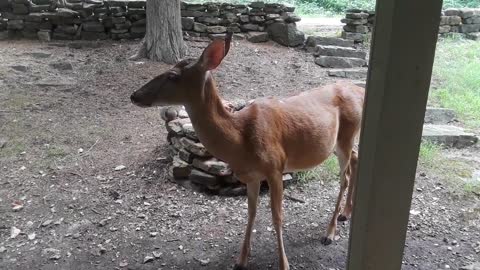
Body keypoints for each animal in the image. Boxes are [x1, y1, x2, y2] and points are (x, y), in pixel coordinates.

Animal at [131, 32, 364, 268]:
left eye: (173, 75)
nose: (134, 95)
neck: (240, 141)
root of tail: (360, 90)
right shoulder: (251, 176)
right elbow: (251, 213)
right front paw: (241, 259)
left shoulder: (275, 167)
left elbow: (277, 216)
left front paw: (284, 263)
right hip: (338, 142)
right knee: (355, 158)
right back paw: (346, 213)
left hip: (346, 135)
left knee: (344, 178)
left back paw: (330, 232)